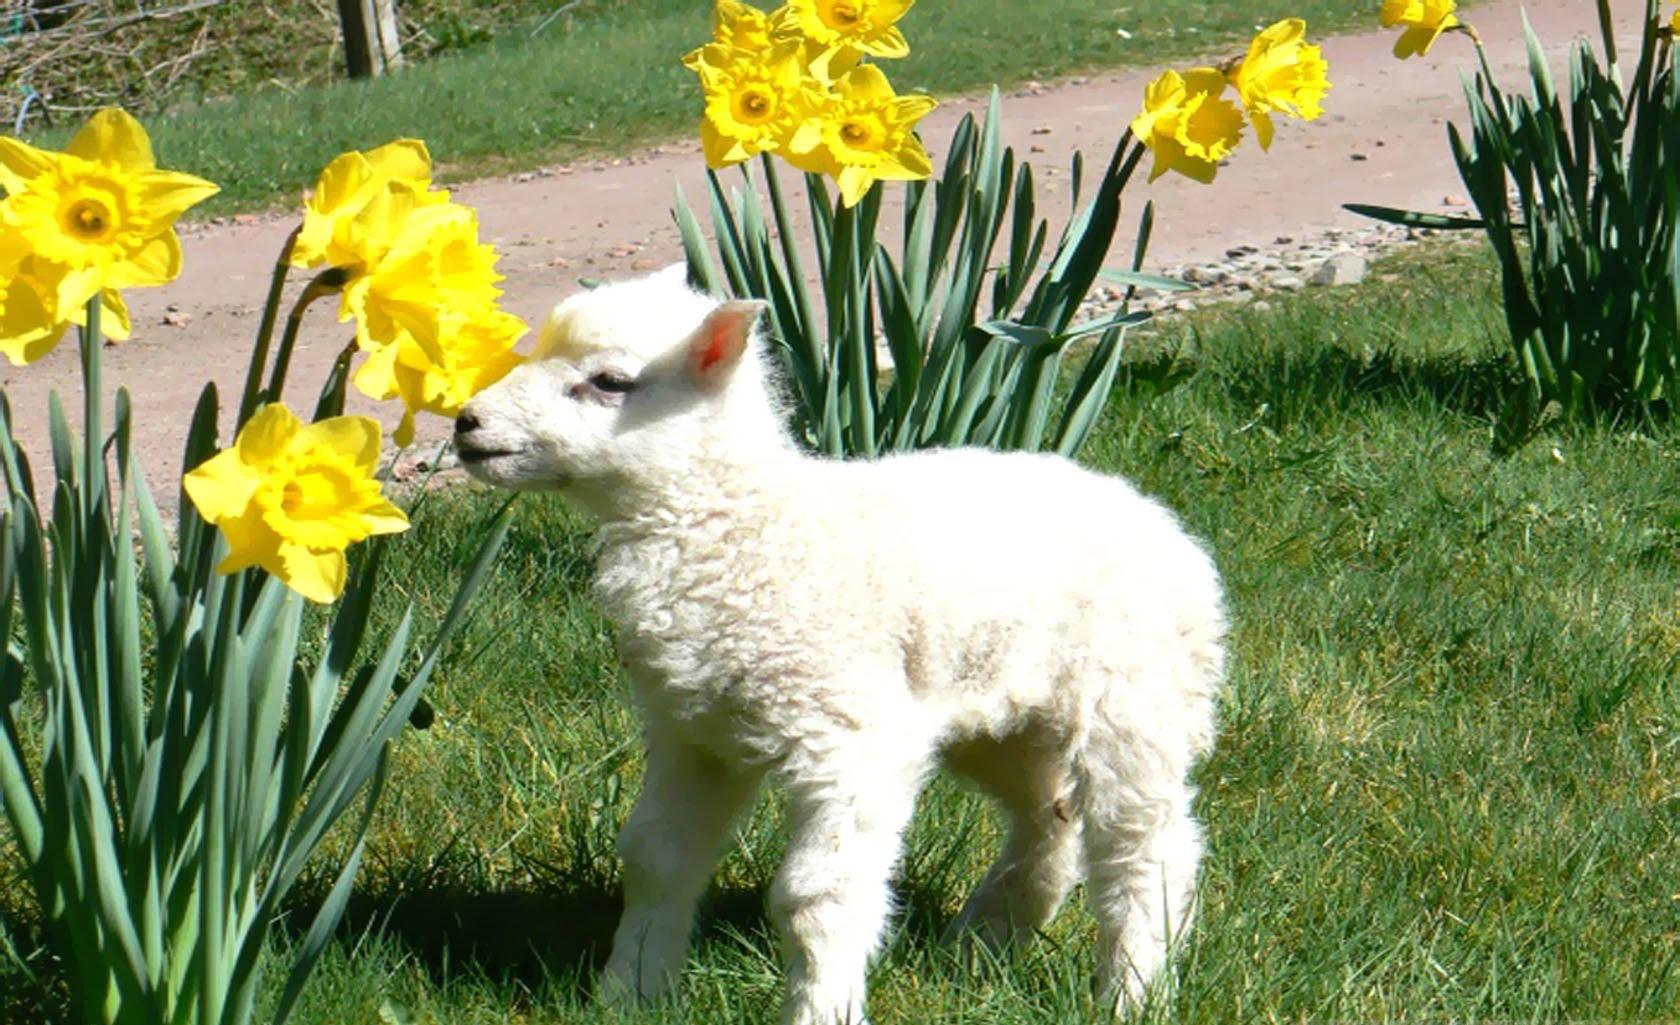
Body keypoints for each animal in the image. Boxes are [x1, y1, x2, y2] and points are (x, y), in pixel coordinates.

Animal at [453, 268, 1229, 1021]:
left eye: (610, 381)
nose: (467, 423)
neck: (747, 532)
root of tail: (1157, 517)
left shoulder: (849, 737)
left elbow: (816, 897)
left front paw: (822, 1006)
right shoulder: (694, 730)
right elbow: (655, 860)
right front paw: (629, 994)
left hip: (1135, 702)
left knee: (1146, 846)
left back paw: (1133, 990)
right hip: (1007, 714)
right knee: (1052, 817)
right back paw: (985, 939)